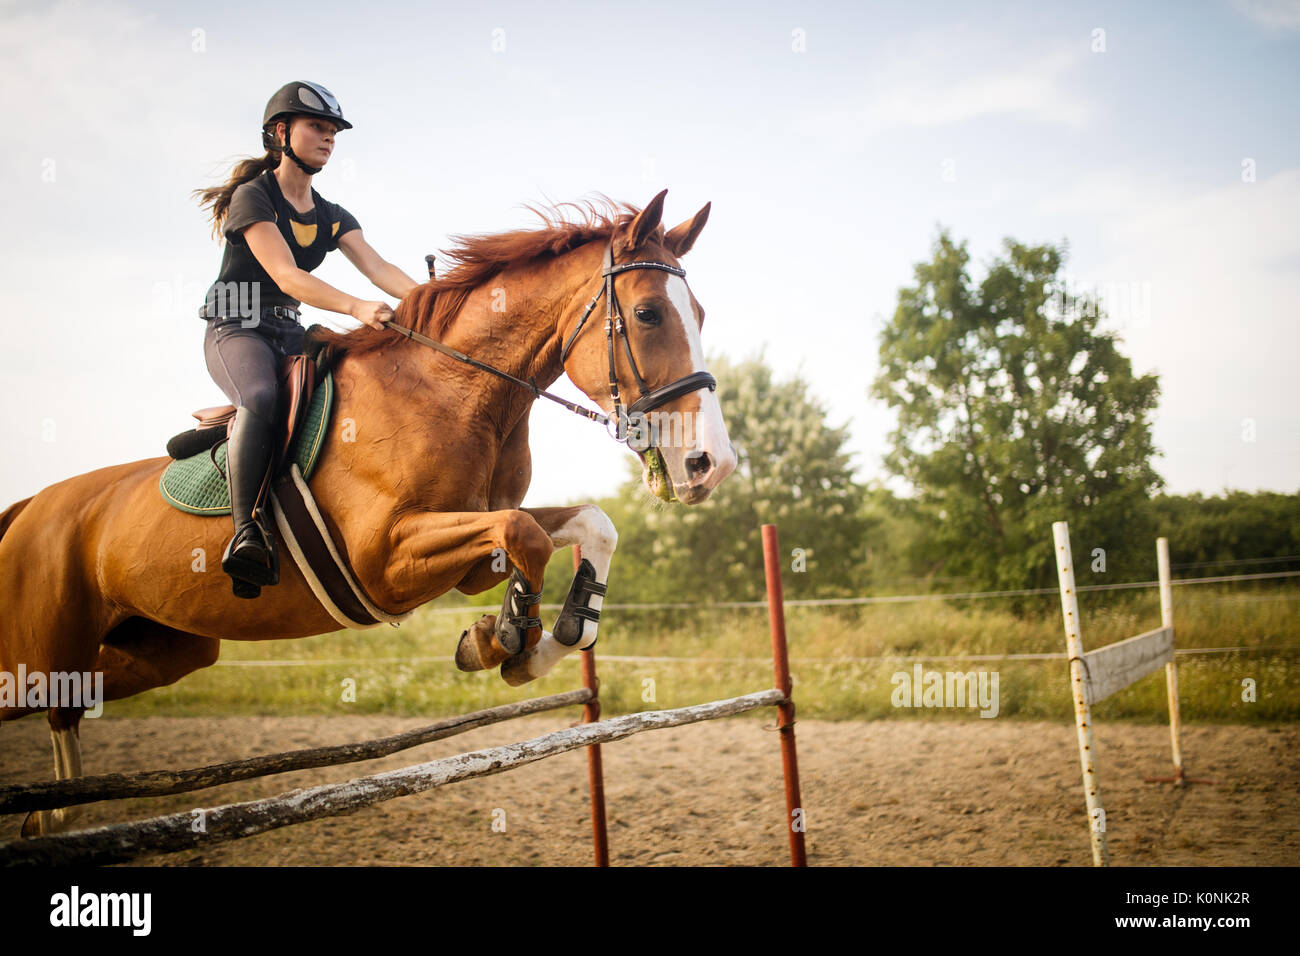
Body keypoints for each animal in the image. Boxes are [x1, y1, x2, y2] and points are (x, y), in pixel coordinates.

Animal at [0, 191, 733, 832]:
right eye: (649, 314)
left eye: (700, 311)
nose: (711, 464)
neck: (457, 391)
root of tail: (30, 507)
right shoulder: (384, 561)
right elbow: (524, 534)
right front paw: (503, 640)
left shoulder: (468, 552)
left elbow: (584, 528)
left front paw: (526, 641)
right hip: (44, 655)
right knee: (47, 715)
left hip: (159, 651)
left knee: (68, 708)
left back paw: (43, 815)